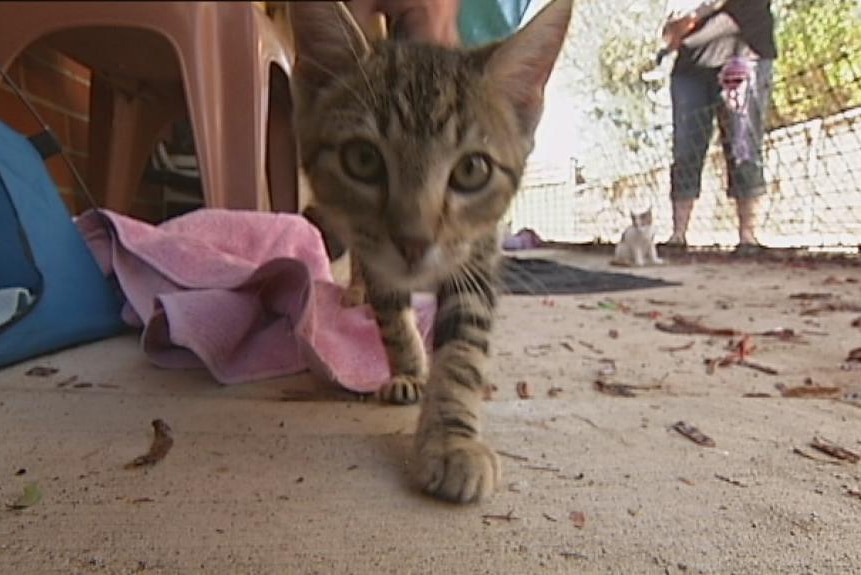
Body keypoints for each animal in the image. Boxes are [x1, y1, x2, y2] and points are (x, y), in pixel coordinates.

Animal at [288, 0, 572, 504]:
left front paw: (451, 441)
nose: (414, 242)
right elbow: (392, 316)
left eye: (472, 170)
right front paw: (409, 370)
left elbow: (463, 348)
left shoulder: (477, 255)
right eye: (362, 159)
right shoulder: (377, 257)